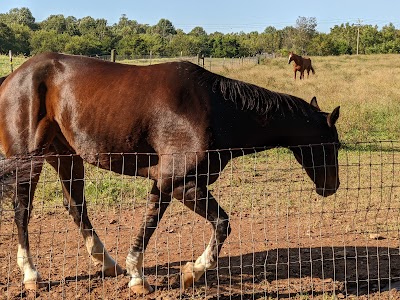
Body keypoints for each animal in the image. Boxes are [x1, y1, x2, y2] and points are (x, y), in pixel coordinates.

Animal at [0, 52, 340, 294]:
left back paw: (107, 263)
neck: (216, 109)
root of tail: (13, 77)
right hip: (28, 162)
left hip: (67, 158)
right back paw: (31, 275)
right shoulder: (181, 184)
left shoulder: (164, 183)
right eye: (332, 144)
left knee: (75, 205)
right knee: (22, 211)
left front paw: (137, 276)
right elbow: (222, 224)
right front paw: (192, 272)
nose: (332, 187)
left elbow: (148, 225)